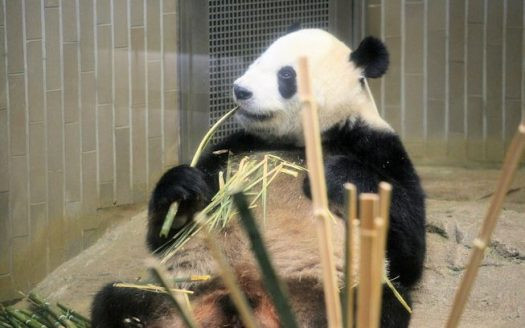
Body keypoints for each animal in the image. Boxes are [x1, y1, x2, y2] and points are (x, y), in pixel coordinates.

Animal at [91, 28, 426, 328]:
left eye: (286, 75)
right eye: (257, 60)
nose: (241, 90)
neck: (301, 139)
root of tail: (249, 300)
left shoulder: (376, 145)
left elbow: (408, 249)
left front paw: (335, 175)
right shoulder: (232, 148)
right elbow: (166, 238)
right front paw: (183, 188)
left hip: (330, 290)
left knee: (385, 303)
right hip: (181, 288)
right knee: (117, 300)